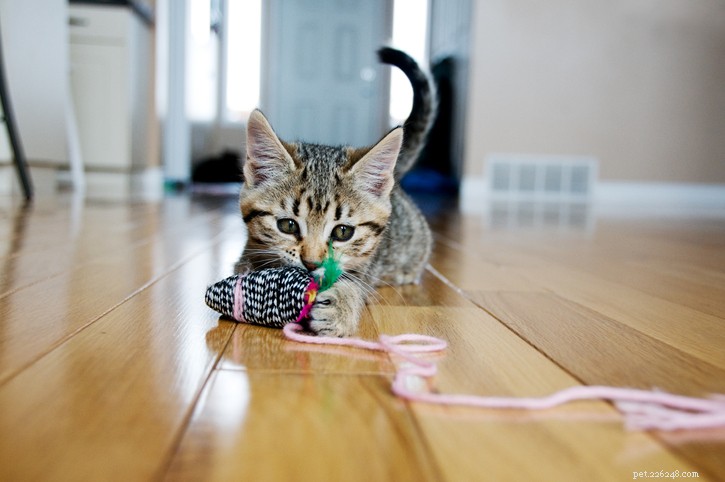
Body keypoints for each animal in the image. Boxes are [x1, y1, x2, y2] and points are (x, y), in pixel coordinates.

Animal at [235, 48, 432, 336]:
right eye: (287, 225)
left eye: (342, 232)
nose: (312, 264)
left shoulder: (365, 266)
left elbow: (354, 282)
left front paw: (340, 308)